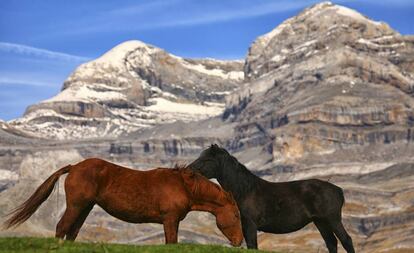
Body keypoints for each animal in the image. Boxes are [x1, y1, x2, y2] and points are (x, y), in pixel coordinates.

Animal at [4, 158, 243, 245]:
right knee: (62, 228)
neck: (183, 185)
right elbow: (171, 242)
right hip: (76, 206)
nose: (239, 241)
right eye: (236, 215)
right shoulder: (170, 219)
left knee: (72, 232)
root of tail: (74, 166)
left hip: (85, 208)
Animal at [189, 144, 354, 253]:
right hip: (320, 221)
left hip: (332, 219)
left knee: (346, 240)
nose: (189, 170)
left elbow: (253, 245)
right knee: (331, 242)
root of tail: (338, 190)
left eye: (207, 159)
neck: (245, 190)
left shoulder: (250, 223)